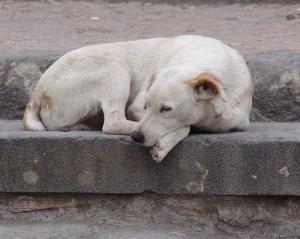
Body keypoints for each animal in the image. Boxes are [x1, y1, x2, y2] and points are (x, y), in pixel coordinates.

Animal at [22, 35, 253, 162]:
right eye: (147, 105)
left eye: (166, 109)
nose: (137, 137)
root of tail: (37, 91)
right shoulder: (137, 109)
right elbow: (185, 126)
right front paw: (164, 144)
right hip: (116, 68)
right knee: (112, 123)